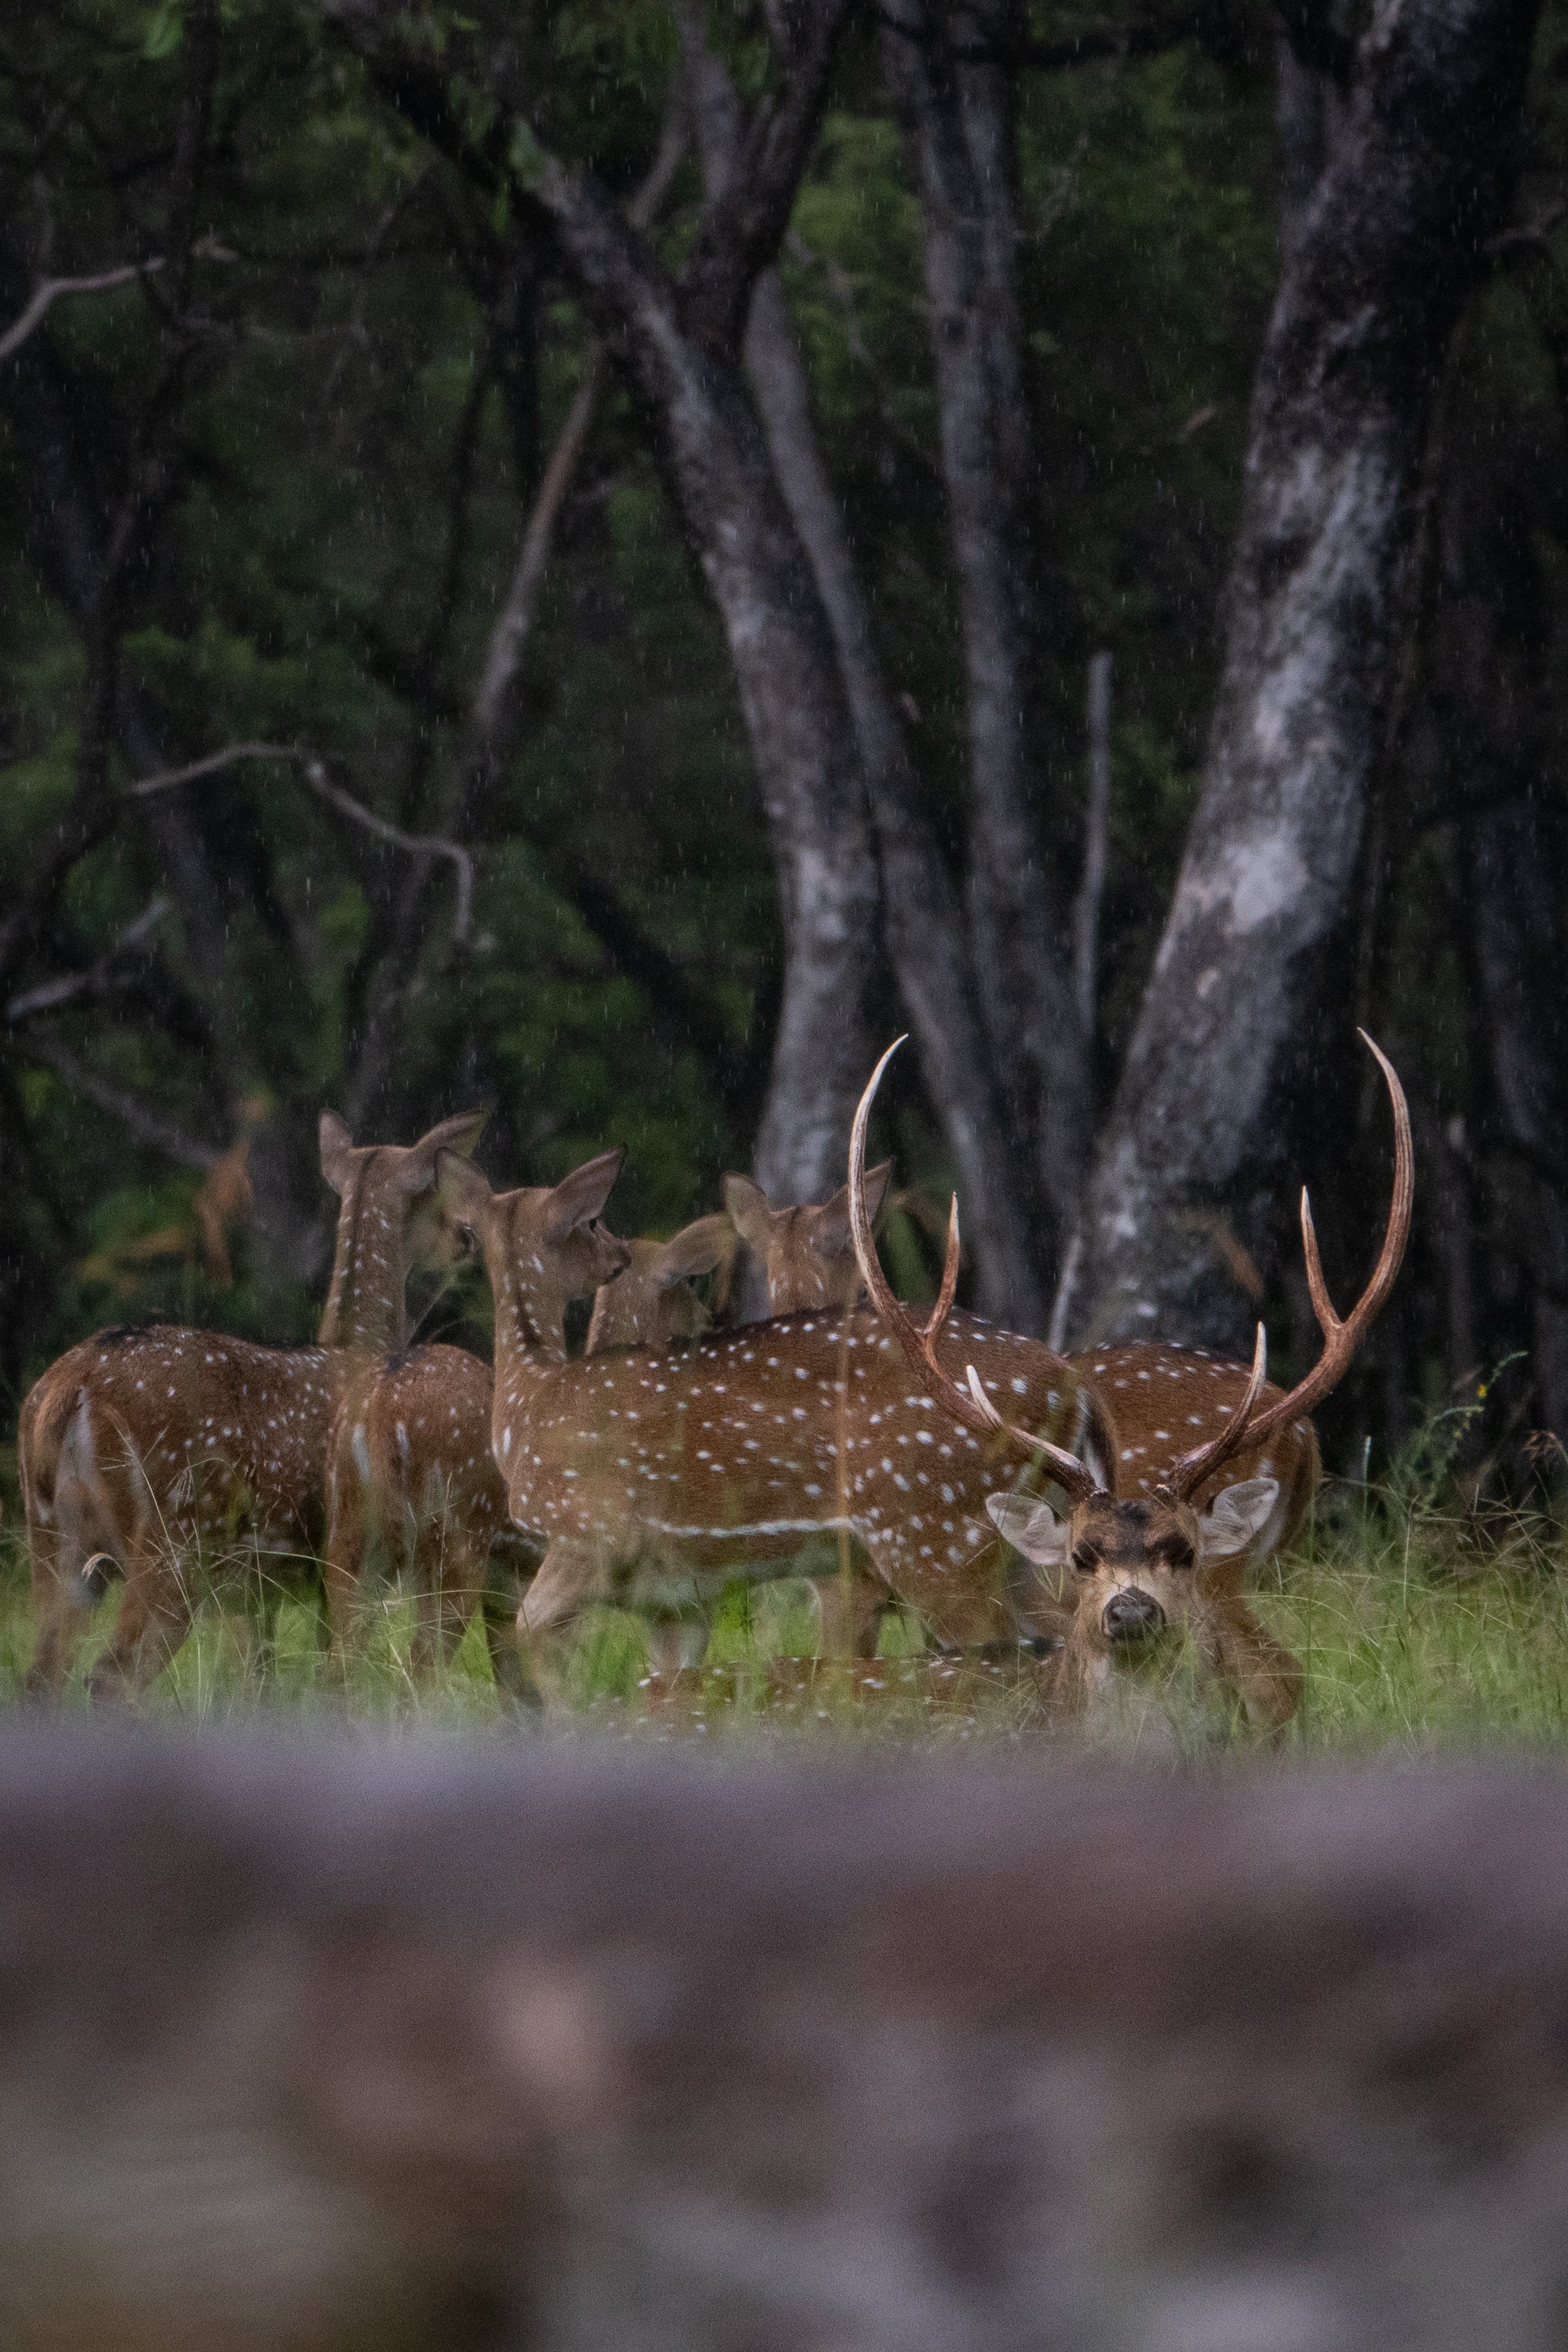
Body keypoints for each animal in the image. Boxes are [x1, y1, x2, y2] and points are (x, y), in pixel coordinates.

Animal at [19, 1109, 488, 1701]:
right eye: (434, 1193)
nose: (467, 1238)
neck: (357, 1347)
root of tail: (72, 1389)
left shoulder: (253, 1593)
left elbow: (259, 1680)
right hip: (176, 1538)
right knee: (111, 1677)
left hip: (51, 1536)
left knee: (41, 1676)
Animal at [319, 1215, 730, 1695]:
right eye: (686, 1284)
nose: (711, 1321)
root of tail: (382, 1409)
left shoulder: (512, 1582)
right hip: (455, 1536)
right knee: (422, 1664)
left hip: (349, 1529)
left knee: (339, 1660)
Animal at [434, 1145, 1113, 1709]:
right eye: (595, 1225)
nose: (618, 1257)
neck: (525, 1405)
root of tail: (1073, 1387)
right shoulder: (674, 1598)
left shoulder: (590, 1534)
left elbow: (532, 1643)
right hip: (1013, 1547)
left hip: (934, 1533)